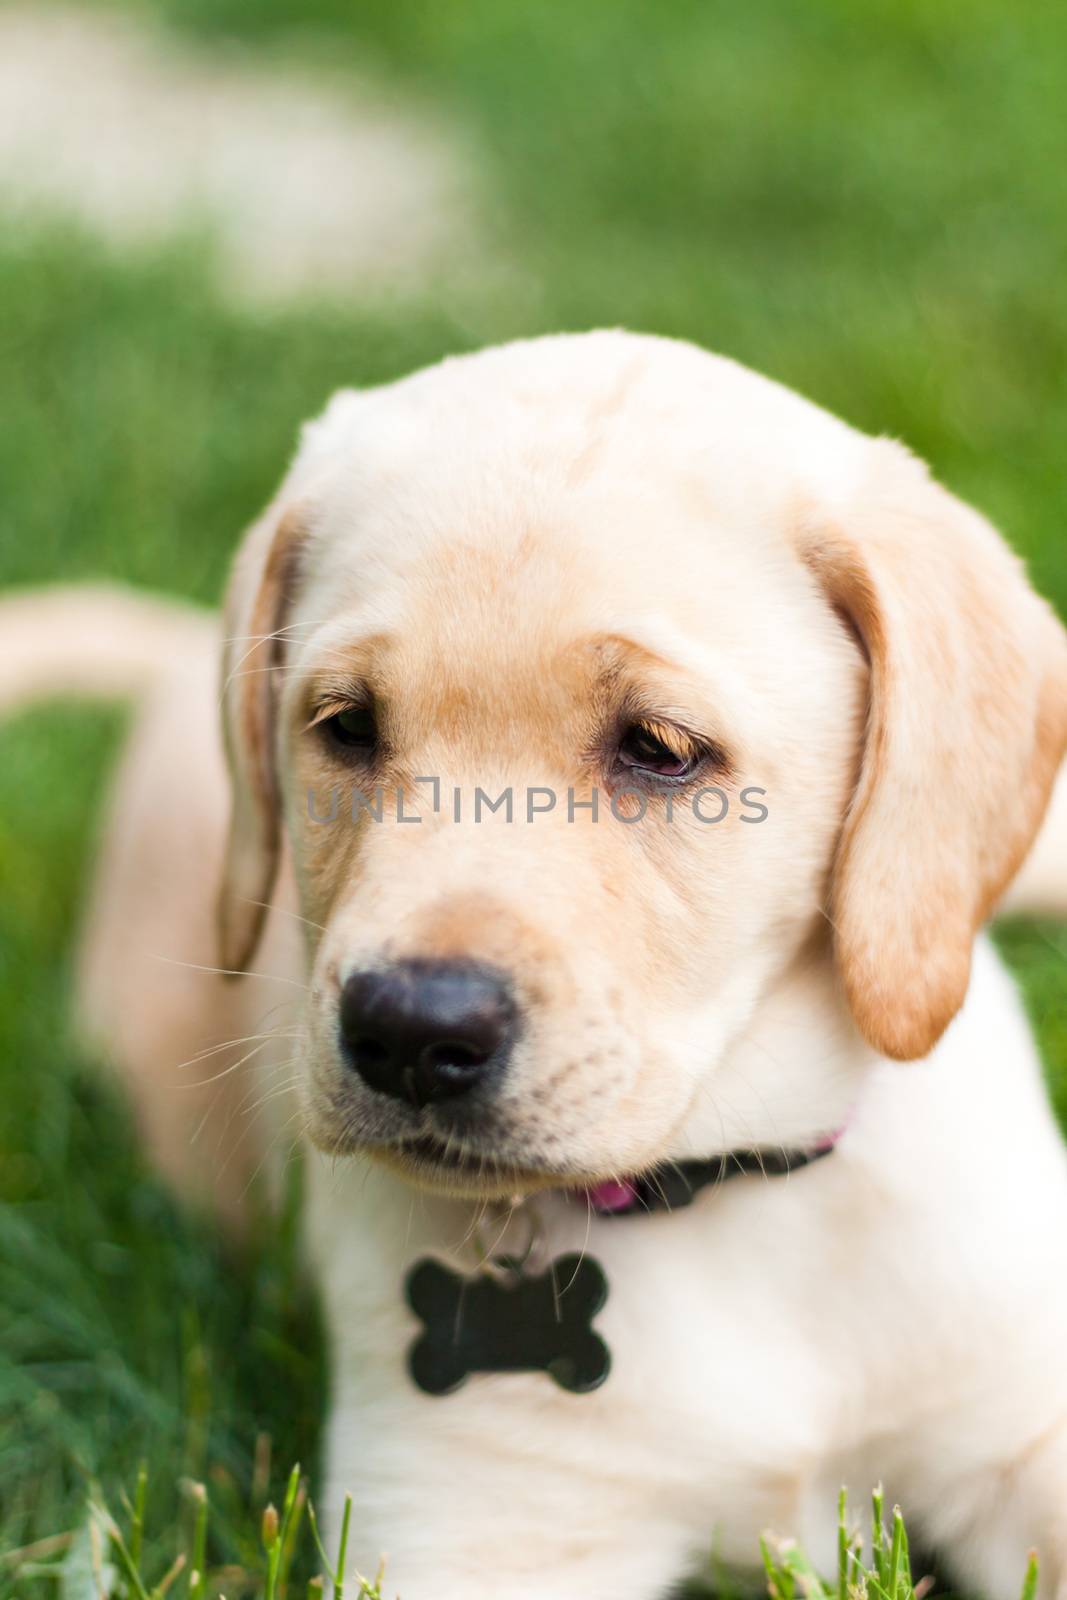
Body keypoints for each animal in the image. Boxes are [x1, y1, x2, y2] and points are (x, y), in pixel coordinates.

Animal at [6, 334, 1067, 1600]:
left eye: (660, 748)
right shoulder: (473, 1527)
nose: (409, 1033)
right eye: (345, 725)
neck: (721, 1195)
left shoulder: (1021, 1425)